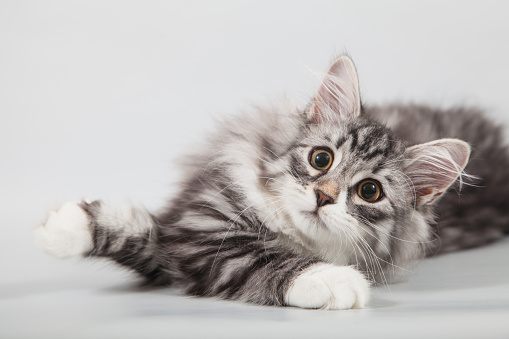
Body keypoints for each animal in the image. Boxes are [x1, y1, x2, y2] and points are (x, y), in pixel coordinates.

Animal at [33, 55, 506, 310]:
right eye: (321, 159)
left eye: (369, 191)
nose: (323, 196)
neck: (288, 233)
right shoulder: (193, 225)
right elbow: (138, 228)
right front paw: (61, 227)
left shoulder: (195, 246)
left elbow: (259, 257)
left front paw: (333, 279)